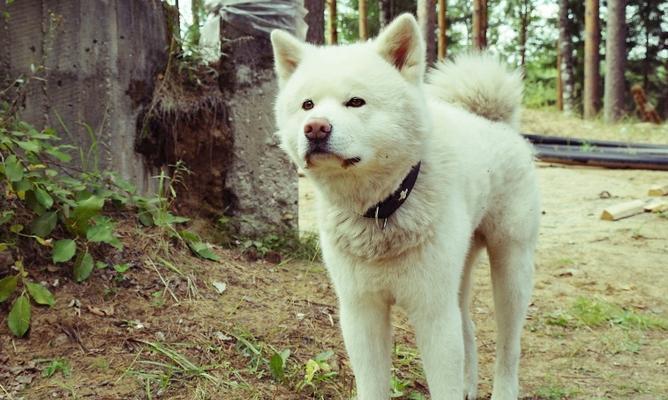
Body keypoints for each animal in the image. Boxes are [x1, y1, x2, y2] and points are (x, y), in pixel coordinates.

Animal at [270, 13, 536, 400]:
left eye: (356, 102)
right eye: (307, 105)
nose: (315, 128)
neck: (383, 209)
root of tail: (492, 120)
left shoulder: (433, 314)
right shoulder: (361, 311)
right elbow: (373, 384)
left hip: (511, 268)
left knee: (509, 347)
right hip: (459, 274)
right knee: (469, 327)